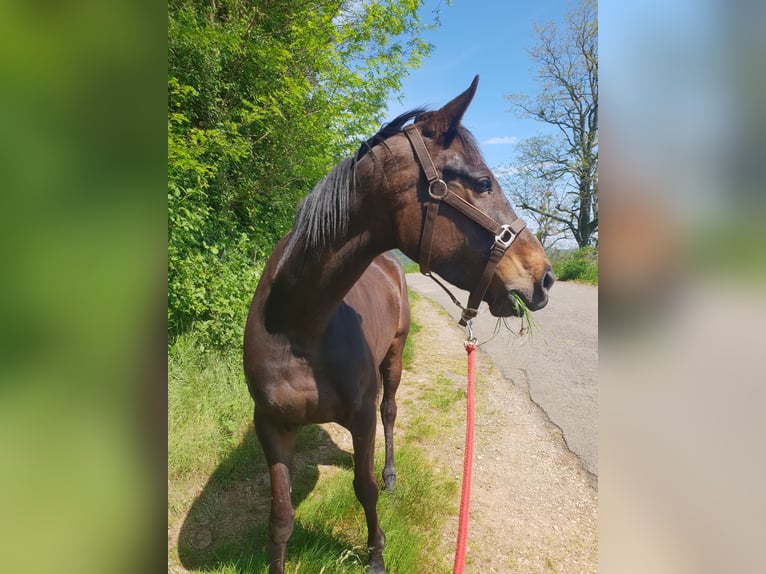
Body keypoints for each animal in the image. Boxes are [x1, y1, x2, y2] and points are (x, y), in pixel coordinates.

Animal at [243, 76, 556, 574]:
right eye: (482, 182)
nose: (544, 277)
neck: (300, 326)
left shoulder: (361, 418)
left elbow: (365, 488)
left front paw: (376, 554)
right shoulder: (271, 426)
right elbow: (280, 516)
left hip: (394, 358)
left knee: (391, 414)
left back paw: (392, 474)